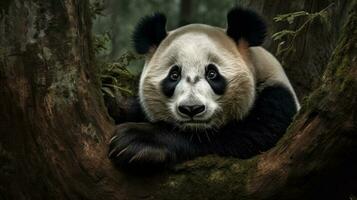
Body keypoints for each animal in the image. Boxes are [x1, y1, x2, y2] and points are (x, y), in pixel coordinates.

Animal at [107, 6, 298, 169]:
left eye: (212, 74)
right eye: (174, 75)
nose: (191, 109)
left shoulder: (277, 99)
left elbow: (250, 135)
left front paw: (137, 140)